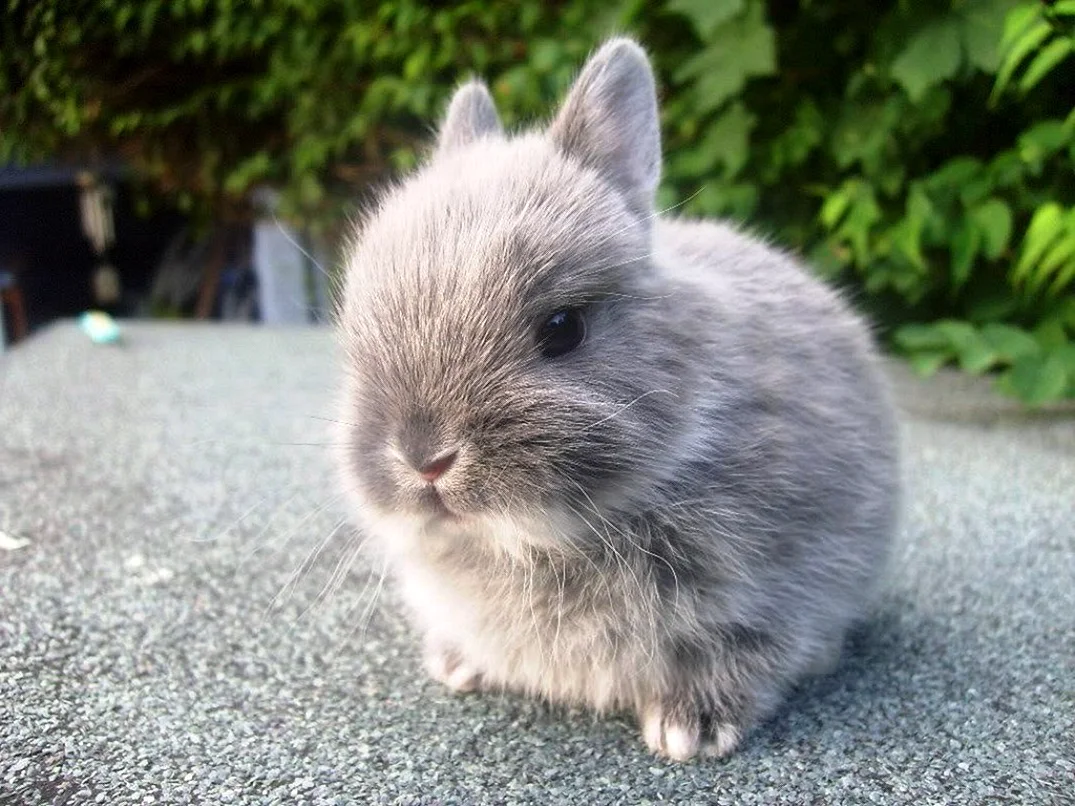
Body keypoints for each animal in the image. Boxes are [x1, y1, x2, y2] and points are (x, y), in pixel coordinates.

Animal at [334, 37, 900, 761]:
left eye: (562, 328)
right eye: (356, 331)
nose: (424, 459)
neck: (537, 539)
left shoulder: (776, 589)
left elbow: (749, 650)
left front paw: (691, 730)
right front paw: (455, 665)